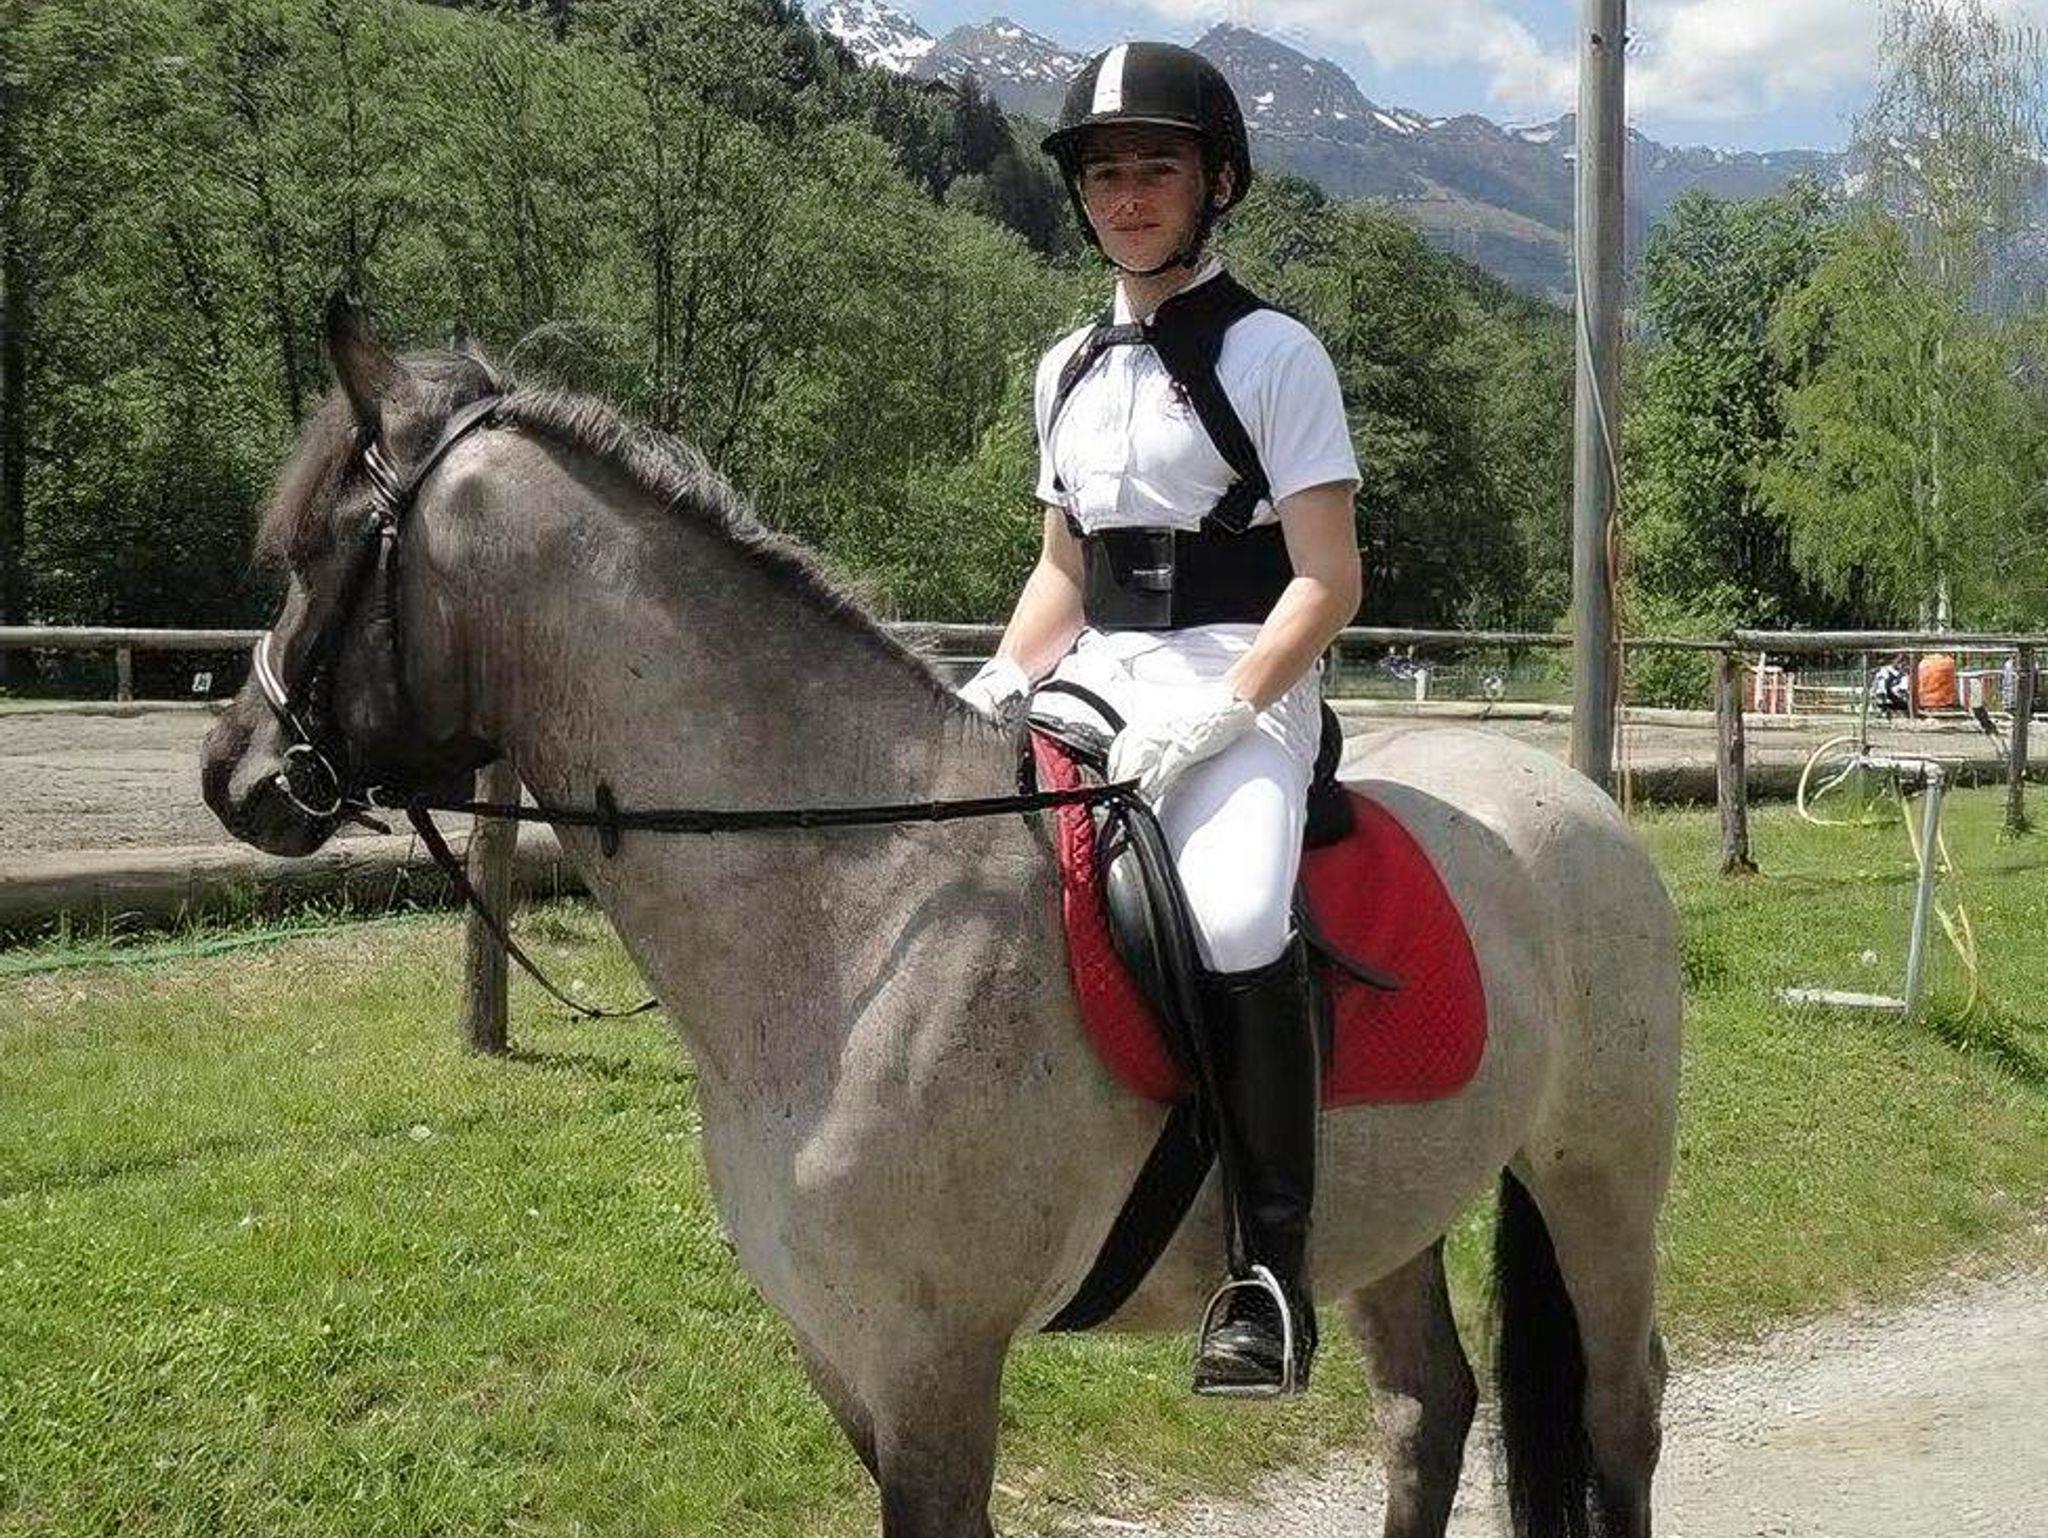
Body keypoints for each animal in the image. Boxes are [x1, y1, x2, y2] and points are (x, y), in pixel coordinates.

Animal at [202, 300, 1682, 1538]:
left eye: (313, 551)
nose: (236, 773)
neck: (854, 909)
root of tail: (1574, 794)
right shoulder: (843, 1352)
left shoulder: (933, 1361)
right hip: (1394, 1206)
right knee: (1427, 1409)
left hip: (1599, 1177)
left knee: (1619, 1408)